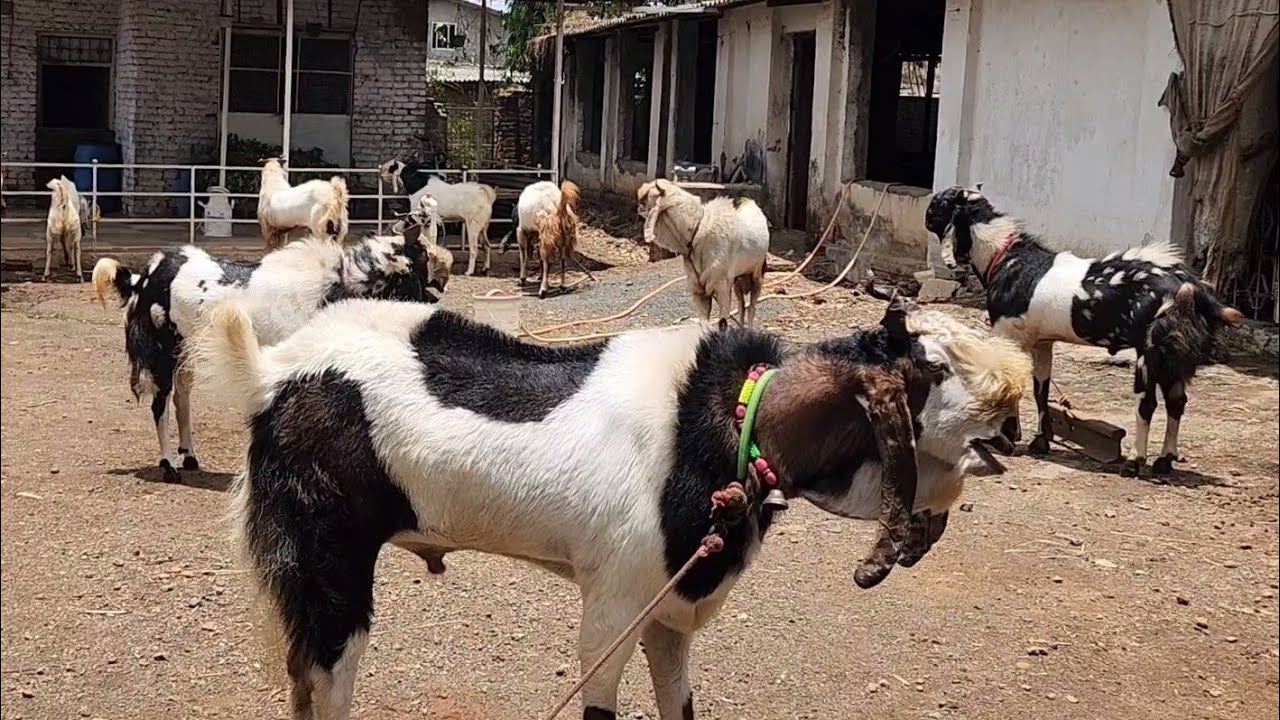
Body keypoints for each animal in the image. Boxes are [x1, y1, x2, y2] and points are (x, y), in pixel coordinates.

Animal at [90, 208, 447, 483]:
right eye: (423, 258)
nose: (441, 289)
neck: (336, 285)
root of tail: (144, 277)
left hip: (186, 355)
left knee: (183, 398)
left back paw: (189, 456)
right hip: (162, 355)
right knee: (160, 404)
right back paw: (168, 466)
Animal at [195, 291, 1026, 719]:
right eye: (932, 366)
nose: (1016, 399)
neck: (724, 421)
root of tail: (273, 370)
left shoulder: (669, 610)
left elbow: (680, 705)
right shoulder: (616, 600)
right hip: (325, 562)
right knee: (325, 677)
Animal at [638, 179, 769, 327]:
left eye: (647, 197)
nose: (638, 206)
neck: (697, 231)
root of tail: (749, 201)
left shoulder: (722, 287)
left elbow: (723, 321)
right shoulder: (699, 291)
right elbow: (704, 324)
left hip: (756, 274)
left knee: (751, 308)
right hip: (738, 279)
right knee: (741, 306)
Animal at [925, 185, 1244, 478]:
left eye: (939, 204)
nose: (926, 216)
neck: (1005, 258)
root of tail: (1191, 287)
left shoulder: (1009, 336)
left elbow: (1014, 385)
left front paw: (1010, 437)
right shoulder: (1042, 342)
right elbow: (1040, 390)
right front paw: (1041, 441)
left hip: (1149, 352)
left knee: (1147, 404)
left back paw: (1135, 461)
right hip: (1175, 357)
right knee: (1177, 402)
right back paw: (1164, 461)